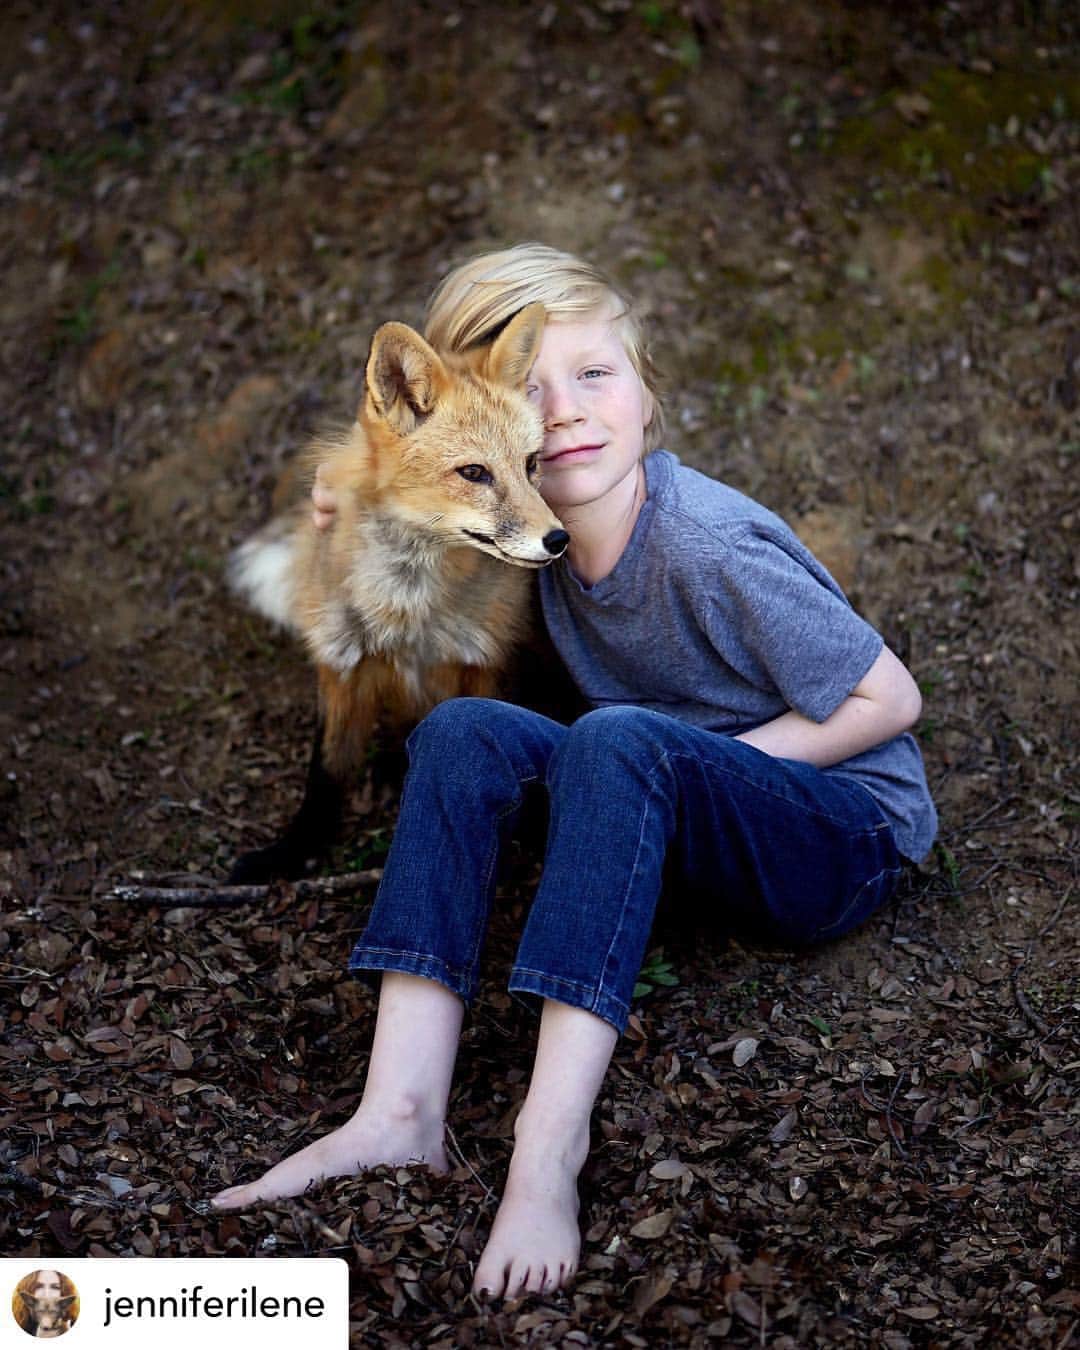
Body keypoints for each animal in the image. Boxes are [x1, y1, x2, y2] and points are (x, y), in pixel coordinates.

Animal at [227, 302, 569, 883]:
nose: (558, 540)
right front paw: (292, 852)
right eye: (474, 472)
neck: (410, 611)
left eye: (530, 464)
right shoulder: (341, 662)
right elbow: (325, 772)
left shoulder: (483, 665)